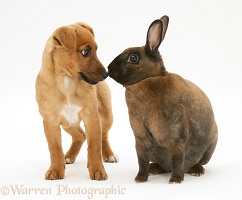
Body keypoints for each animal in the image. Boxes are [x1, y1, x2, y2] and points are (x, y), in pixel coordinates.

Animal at [35, 22, 118, 181]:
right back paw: (68, 156)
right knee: (80, 135)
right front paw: (56, 169)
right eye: (85, 52)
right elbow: (55, 148)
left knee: (103, 135)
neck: (66, 81)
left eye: (96, 50)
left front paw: (97, 169)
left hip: (106, 115)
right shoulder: (51, 121)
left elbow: (94, 146)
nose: (106, 74)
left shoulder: (91, 117)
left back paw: (108, 154)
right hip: (68, 123)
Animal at [108, 15, 217, 184]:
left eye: (133, 57)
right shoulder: (141, 139)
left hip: (209, 147)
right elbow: (141, 160)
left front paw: (176, 180)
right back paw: (154, 169)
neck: (148, 79)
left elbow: (177, 159)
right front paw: (140, 178)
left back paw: (195, 171)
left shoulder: (175, 139)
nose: (108, 68)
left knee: (192, 163)